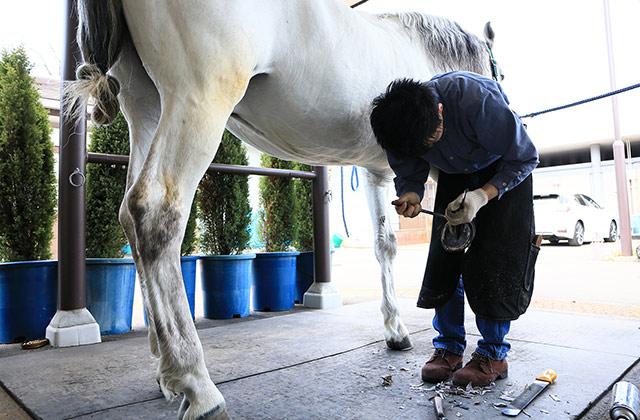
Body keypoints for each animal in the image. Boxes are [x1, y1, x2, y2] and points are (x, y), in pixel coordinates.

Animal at [71, 1, 496, 418]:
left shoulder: (376, 173)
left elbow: (385, 245)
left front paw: (395, 330)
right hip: (198, 100)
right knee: (156, 211)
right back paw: (198, 387)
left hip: (146, 106)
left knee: (129, 215)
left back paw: (165, 372)